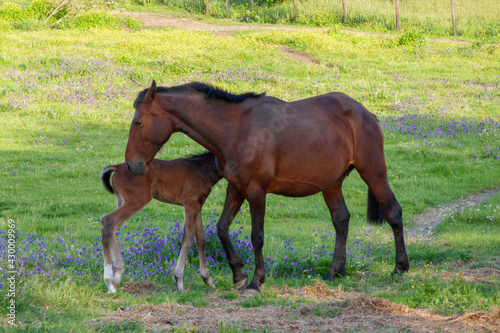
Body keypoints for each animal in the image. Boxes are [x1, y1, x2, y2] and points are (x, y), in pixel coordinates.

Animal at [99, 152, 221, 292]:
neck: (201, 168)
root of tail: (118, 167)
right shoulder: (190, 204)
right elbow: (188, 239)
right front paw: (179, 282)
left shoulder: (197, 206)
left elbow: (201, 239)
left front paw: (207, 280)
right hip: (137, 200)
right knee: (108, 221)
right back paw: (114, 279)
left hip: (121, 201)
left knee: (109, 227)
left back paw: (110, 281)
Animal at [125, 80, 410, 294]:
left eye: (138, 122)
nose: (130, 165)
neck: (236, 128)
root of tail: (365, 113)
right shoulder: (235, 187)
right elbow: (222, 227)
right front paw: (238, 273)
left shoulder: (256, 191)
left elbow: (257, 236)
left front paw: (255, 281)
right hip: (332, 184)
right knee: (341, 220)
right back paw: (334, 272)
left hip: (374, 173)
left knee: (393, 212)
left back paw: (400, 267)